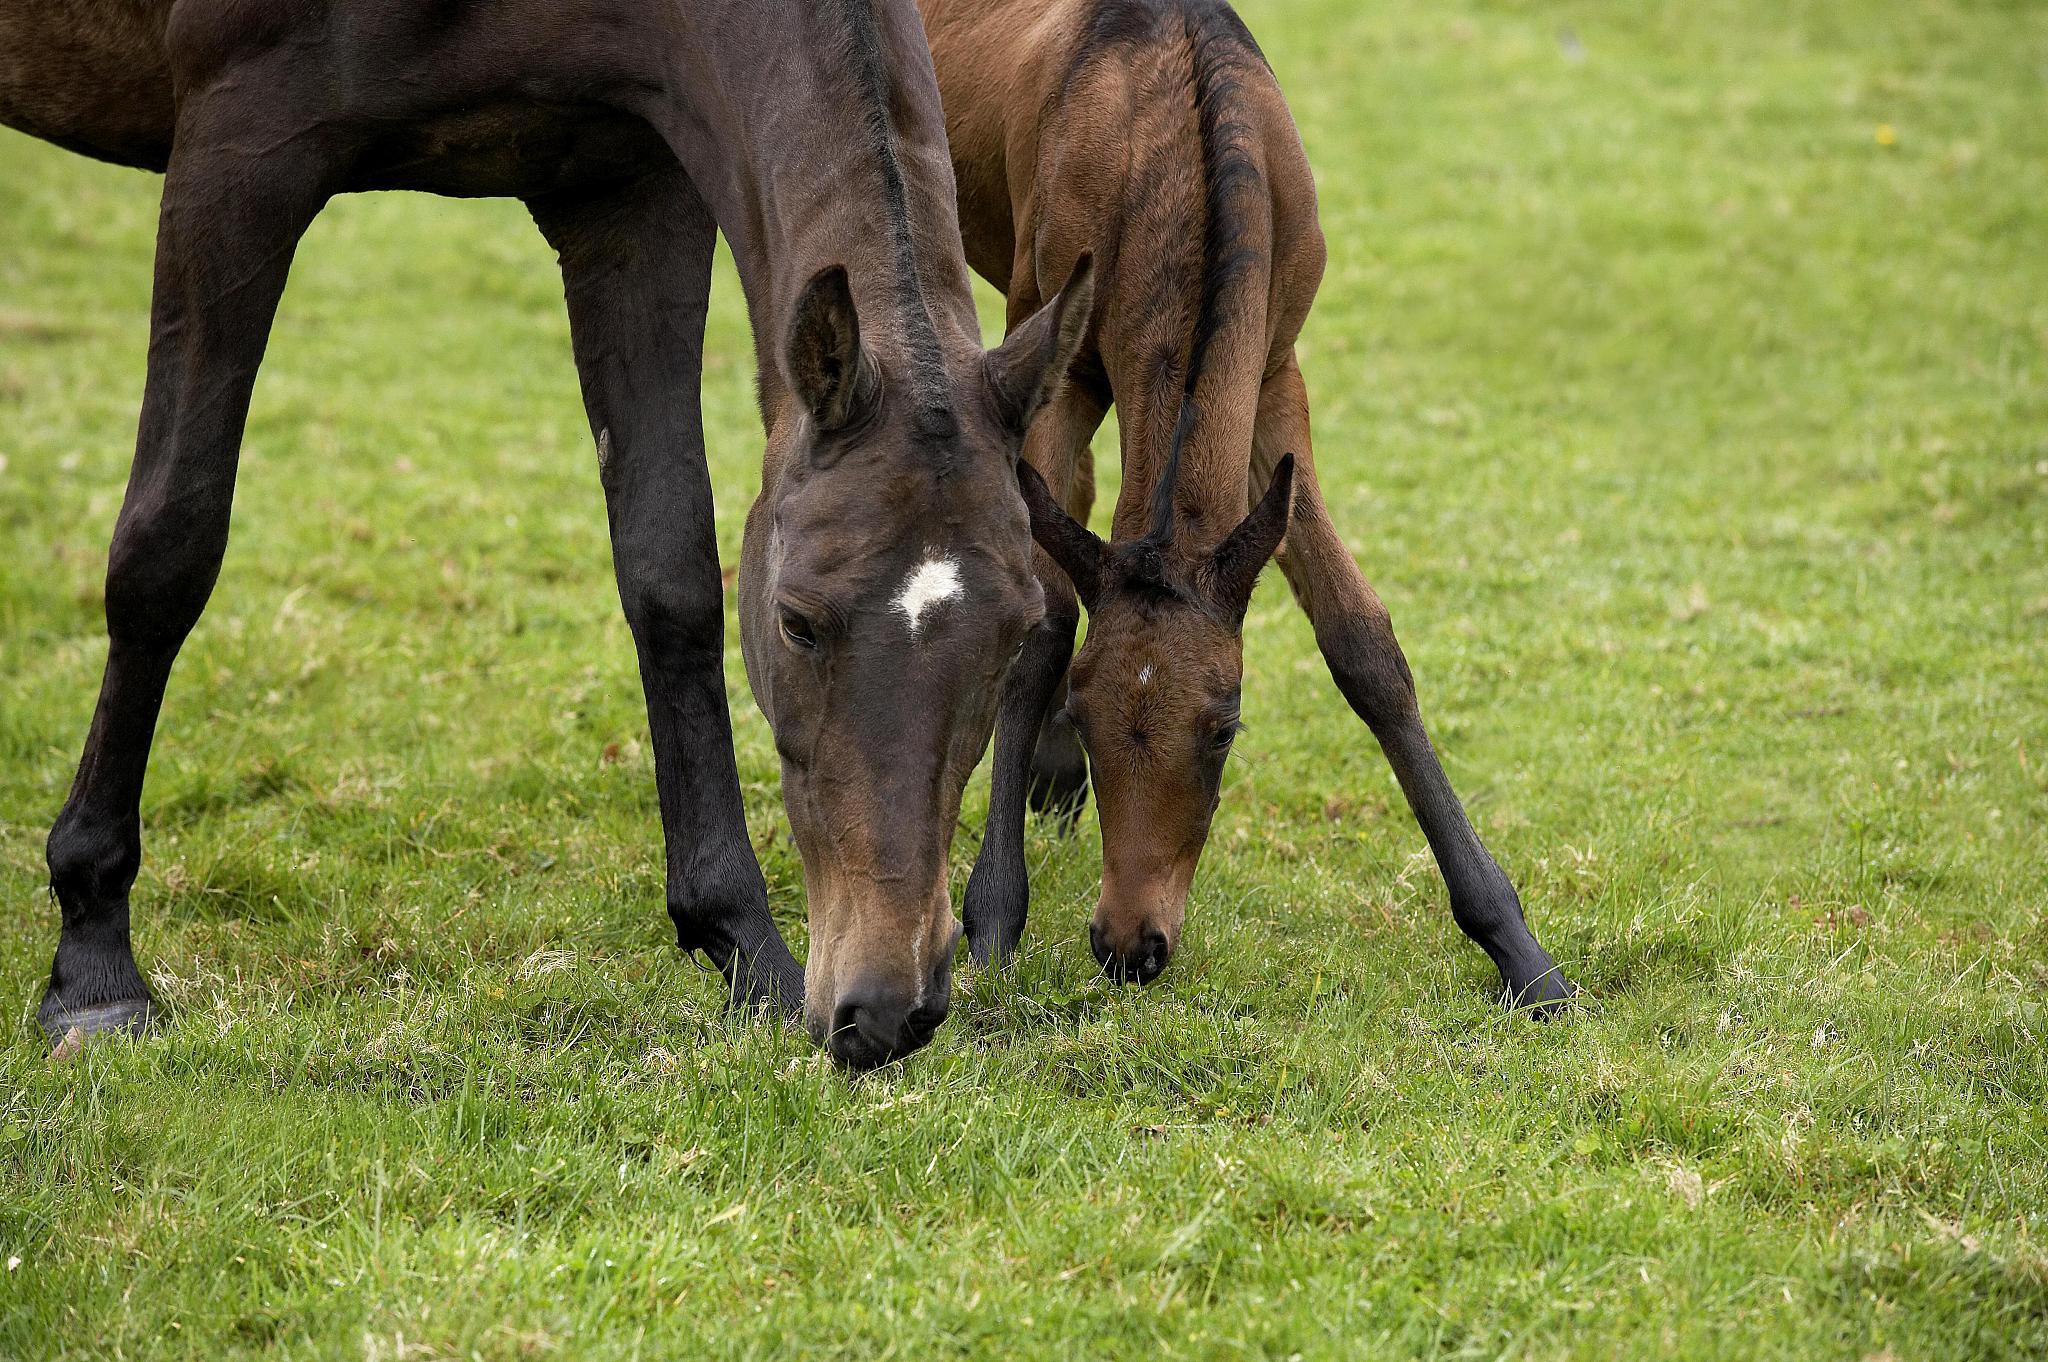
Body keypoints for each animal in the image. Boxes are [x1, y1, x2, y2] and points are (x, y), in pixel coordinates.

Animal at [1, 0, 1094, 1068]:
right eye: (798, 623)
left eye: (1012, 638)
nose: (888, 1008)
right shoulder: (237, 153)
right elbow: (168, 549)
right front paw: (94, 963)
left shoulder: (629, 195)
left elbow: (670, 571)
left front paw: (746, 950)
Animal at [918, 0, 1572, 1011]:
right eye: (1094, 713)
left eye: (1224, 727)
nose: (1129, 944)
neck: (1170, 149)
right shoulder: (1055, 345)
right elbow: (1043, 623)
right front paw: (991, 922)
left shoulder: (1274, 372)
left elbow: (1361, 642)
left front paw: (1523, 953)